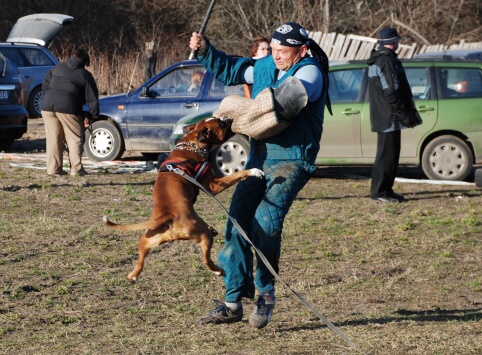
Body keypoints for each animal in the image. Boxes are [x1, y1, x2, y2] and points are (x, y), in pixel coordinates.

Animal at [101, 118, 264, 282]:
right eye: (221, 124)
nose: (228, 118)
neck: (192, 144)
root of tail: (168, 217)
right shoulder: (213, 186)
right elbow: (237, 174)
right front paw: (254, 171)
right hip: (204, 235)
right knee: (206, 259)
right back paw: (218, 270)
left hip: (146, 240)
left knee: (140, 260)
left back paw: (132, 276)